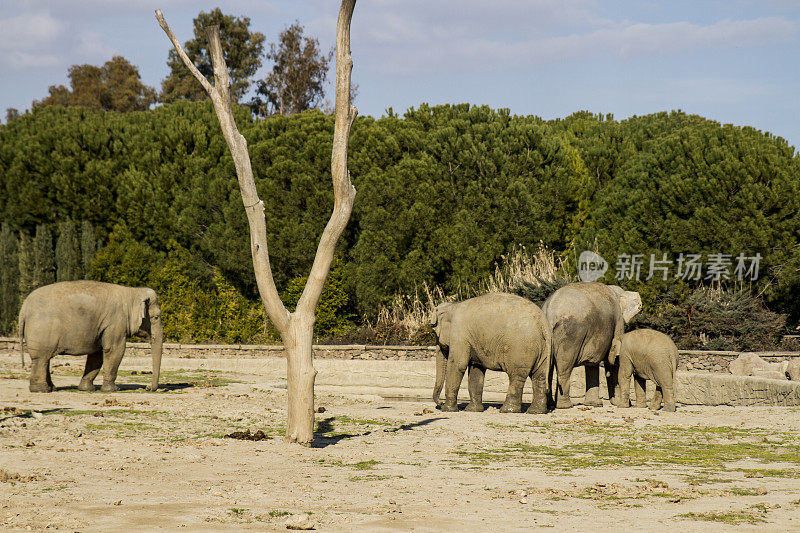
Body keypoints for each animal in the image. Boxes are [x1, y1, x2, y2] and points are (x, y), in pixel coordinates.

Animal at [19, 280, 162, 392]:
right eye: (156, 317)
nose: (147, 387)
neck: (132, 292)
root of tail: (24, 308)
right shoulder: (115, 322)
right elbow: (115, 349)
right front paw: (113, 390)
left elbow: (97, 353)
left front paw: (87, 389)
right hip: (42, 330)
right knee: (41, 359)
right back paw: (41, 390)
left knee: (45, 359)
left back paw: (51, 388)